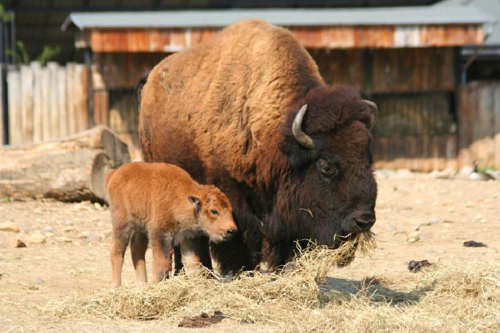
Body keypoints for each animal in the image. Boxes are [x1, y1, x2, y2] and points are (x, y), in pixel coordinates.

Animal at [105, 162, 236, 286]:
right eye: (214, 211)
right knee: (116, 251)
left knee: (136, 249)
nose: (231, 230)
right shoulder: (160, 235)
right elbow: (160, 264)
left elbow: (192, 263)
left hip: (140, 227)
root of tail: (114, 173)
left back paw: (142, 284)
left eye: (230, 209)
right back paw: (116, 287)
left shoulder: (188, 238)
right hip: (122, 224)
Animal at [139, 19, 376, 274]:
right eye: (326, 167)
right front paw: (243, 269)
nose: (364, 220)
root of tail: (150, 83)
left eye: (368, 160)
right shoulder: (234, 195)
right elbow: (238, 236)